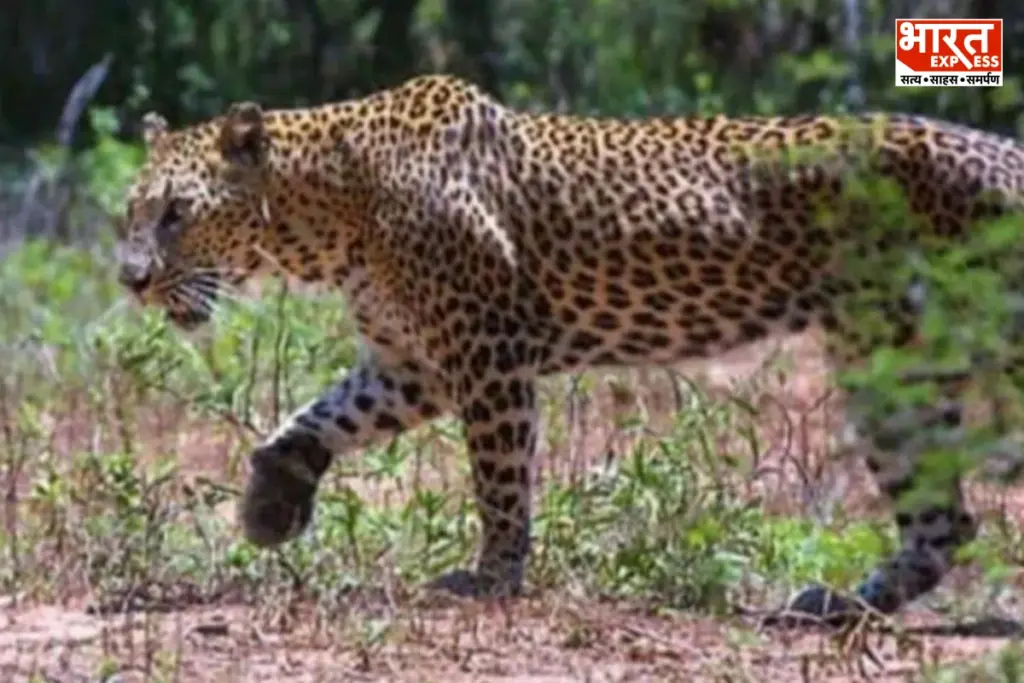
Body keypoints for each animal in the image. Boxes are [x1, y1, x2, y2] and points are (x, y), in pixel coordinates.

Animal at [114, 73, 1024, 625]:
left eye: (176, 213)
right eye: (131, 210)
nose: (129, 279)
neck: (330, 211)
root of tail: (1001, 152)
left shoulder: (487, 353)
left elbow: (500, 481)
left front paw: (492, 578)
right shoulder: (413, 364)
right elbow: (318, 416)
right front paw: (272, 502)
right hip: (890, 364)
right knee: (943, 521)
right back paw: (830, 606)